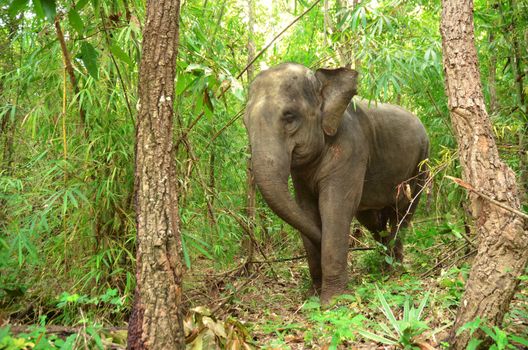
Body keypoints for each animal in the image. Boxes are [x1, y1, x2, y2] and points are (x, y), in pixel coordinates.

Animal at [243, 62, 428, 304]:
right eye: (245, 123)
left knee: (403, 212)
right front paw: (314, 295)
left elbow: (335, 207)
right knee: (372, 219)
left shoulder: (351, 148)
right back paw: (384, 260)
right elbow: (306, 210)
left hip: (422, 163)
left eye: (289, 116)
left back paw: (393, 268)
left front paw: (333, 301)